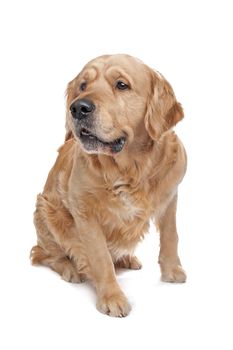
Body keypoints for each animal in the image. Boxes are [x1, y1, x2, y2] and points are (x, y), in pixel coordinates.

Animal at [30, 54, 187, 318]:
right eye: (83, 86)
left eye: (121, 85)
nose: (78, 108)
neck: (129, 170)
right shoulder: (85, 212)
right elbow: (100, 258)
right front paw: (112, 298)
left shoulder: (170, 196)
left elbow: (170, 236)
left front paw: (172, 271)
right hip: (45, 210)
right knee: (47, 253)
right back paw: (70, 268)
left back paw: (126, 259)